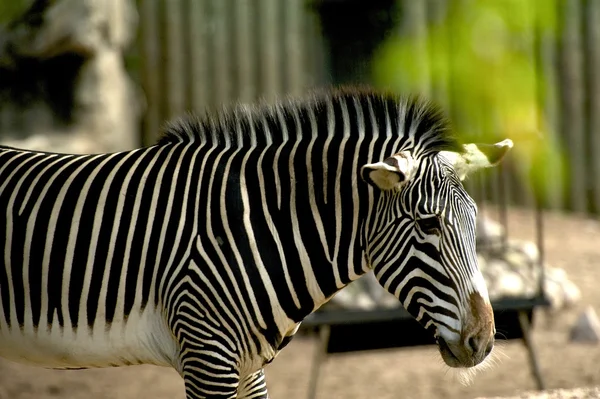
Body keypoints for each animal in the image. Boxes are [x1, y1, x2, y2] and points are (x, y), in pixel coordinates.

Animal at [0, 88, 510, 399]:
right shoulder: (207, 357)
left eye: (475, 224)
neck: (253, 227)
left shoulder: (247, 366)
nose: (483, 341)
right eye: (428, 225)